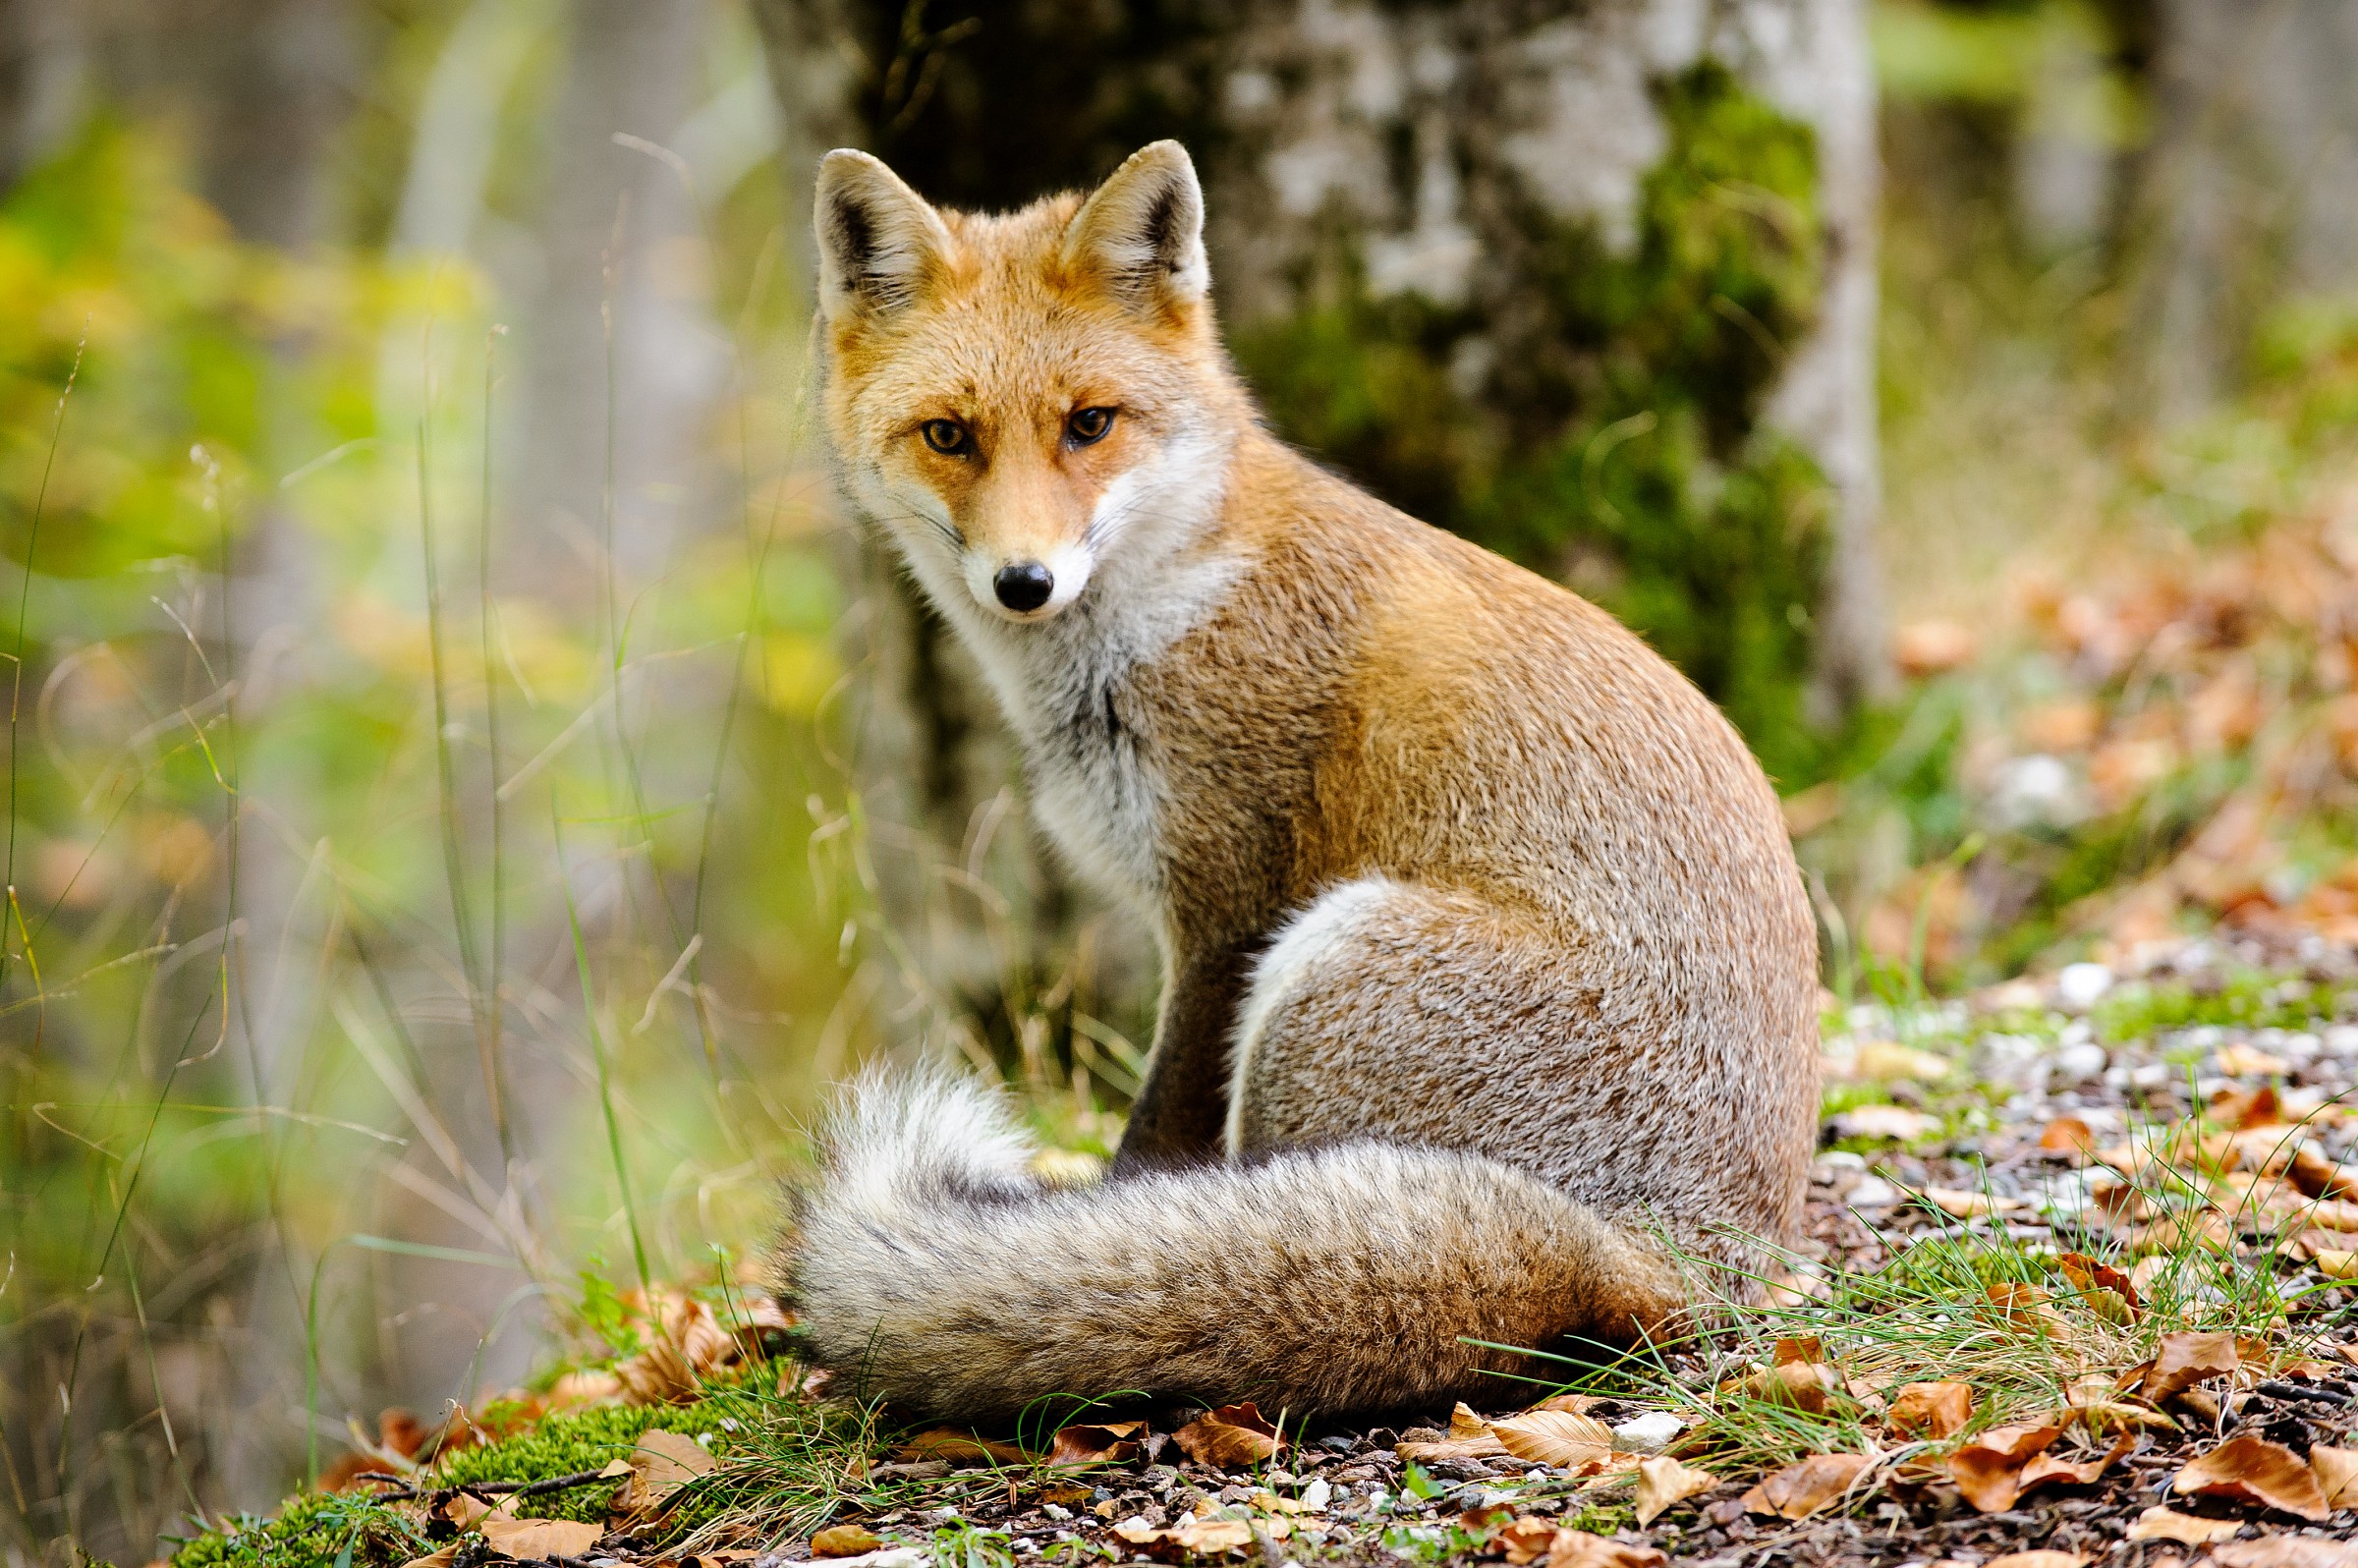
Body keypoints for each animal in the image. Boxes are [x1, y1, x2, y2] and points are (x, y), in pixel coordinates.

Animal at [774, 140, 1820, 1424]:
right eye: (948, 435)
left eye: (1089, 424)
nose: (1025, 582)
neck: (1178, 599)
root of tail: (1688, 1257)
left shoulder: (1229, 904)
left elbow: (1153, 1143)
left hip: (1326, 961)